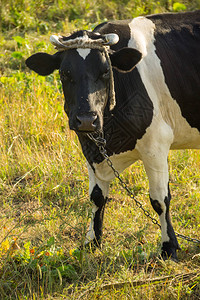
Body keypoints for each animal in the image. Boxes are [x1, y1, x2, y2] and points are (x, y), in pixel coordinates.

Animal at [26, 10, 200, 262]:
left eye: (105, 72)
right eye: (65, 73)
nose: (86, 119)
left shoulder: (156, 144)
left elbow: (160, 199)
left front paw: (168, 248)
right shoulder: (90, 147)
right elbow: (97, 196)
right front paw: (92, 242)